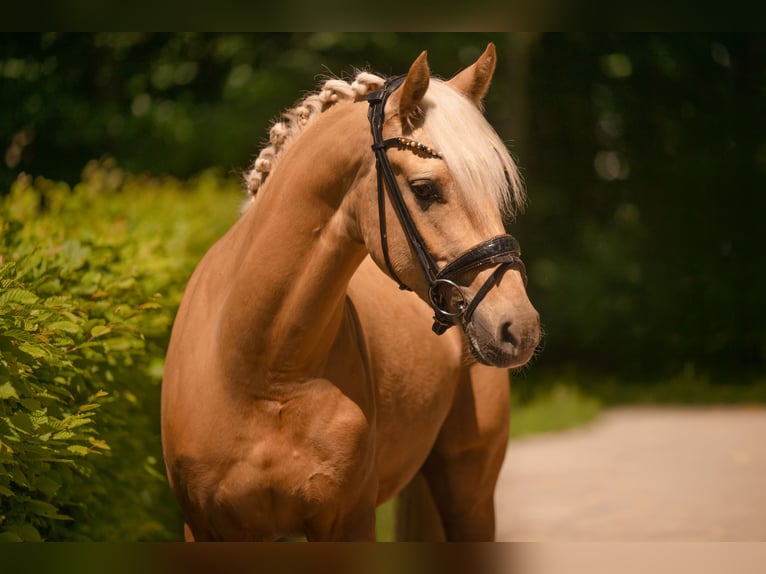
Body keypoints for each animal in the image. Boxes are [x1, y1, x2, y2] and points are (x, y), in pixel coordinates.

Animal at [160, 43, 541, 541]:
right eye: (424, 189)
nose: (519, 327)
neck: (261, 371)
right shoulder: (206, 527)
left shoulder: (349, 520)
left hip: (470, 493)